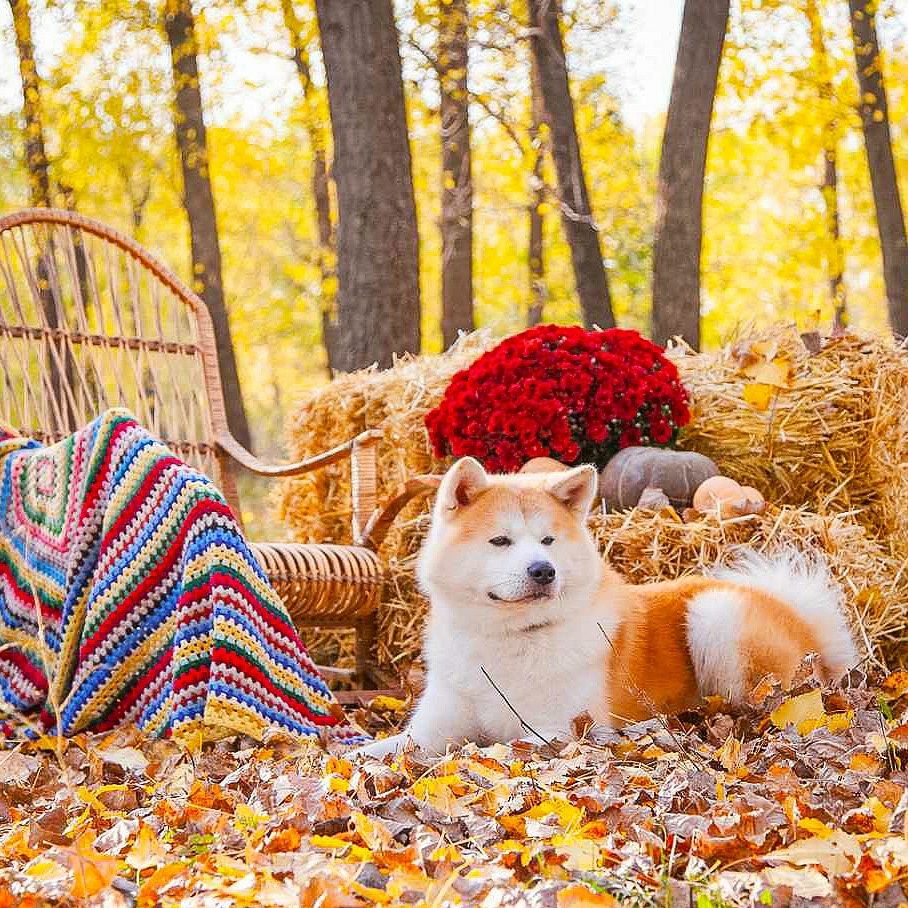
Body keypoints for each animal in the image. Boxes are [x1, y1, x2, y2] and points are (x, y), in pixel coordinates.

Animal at [356, 458, 860, 756]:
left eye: (547, 541)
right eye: (500, 541)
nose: (543, 571)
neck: (510, 639)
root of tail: (802, 618)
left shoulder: (555, 730)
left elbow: (482, 751)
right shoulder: (431, 727)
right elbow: (381, 753)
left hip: (715, 614)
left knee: (761, 709)